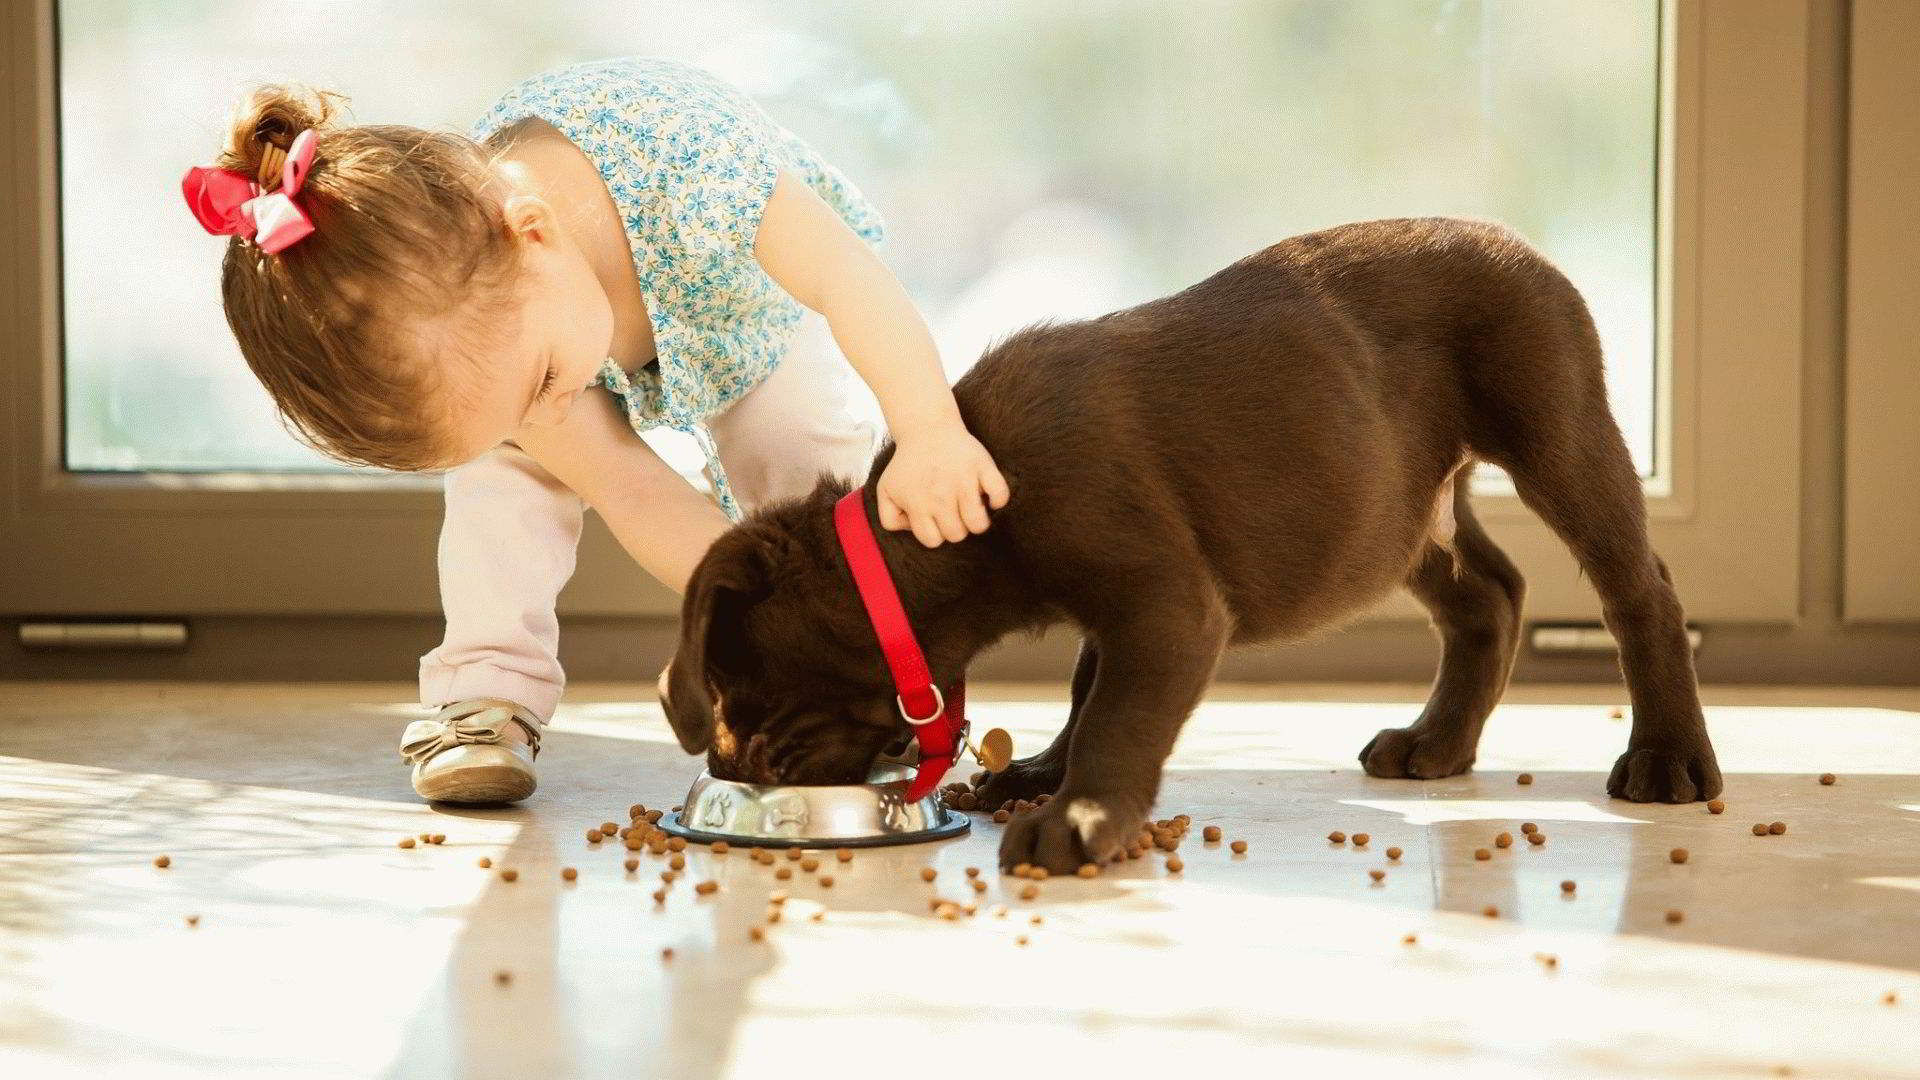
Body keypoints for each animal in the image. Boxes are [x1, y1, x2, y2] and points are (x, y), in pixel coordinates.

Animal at [660, 214, 1728, 868]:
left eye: (742, 691)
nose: (734, 764)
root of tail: (1515, 239)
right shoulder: (1125, 605)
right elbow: (1089, 688)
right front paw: (1044, 776)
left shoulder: (1163, 601)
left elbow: (1120, 713)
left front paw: (1077, 818)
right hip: (1392, 511)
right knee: (1490, 593)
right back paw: (1438, 742)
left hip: (1557, 428)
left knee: (1640, 589)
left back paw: (1668, 759)